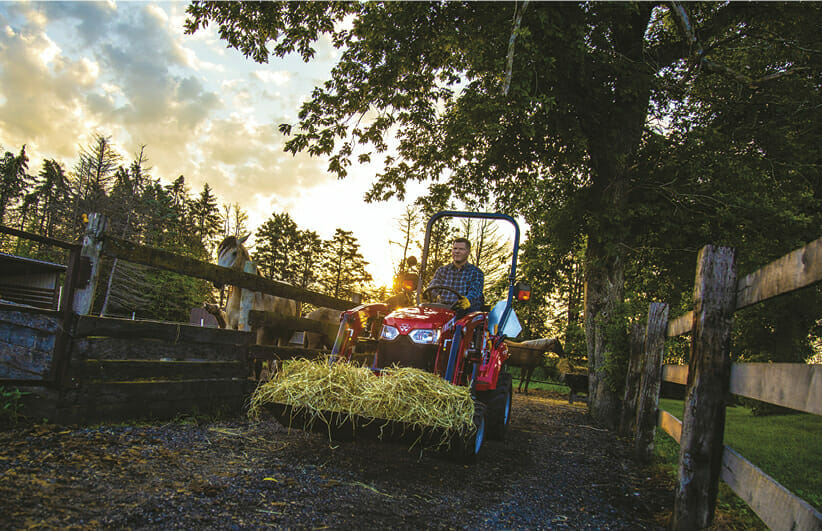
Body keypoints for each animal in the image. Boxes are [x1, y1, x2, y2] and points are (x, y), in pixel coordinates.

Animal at [208, 236, 298, 378]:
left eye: (234, 253)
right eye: (219, 253)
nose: (217, 281)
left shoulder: (260, 333)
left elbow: (258, 363)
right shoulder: (231, 327)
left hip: (284, 336)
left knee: (279, 361)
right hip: (272, 337)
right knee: (272, 360)